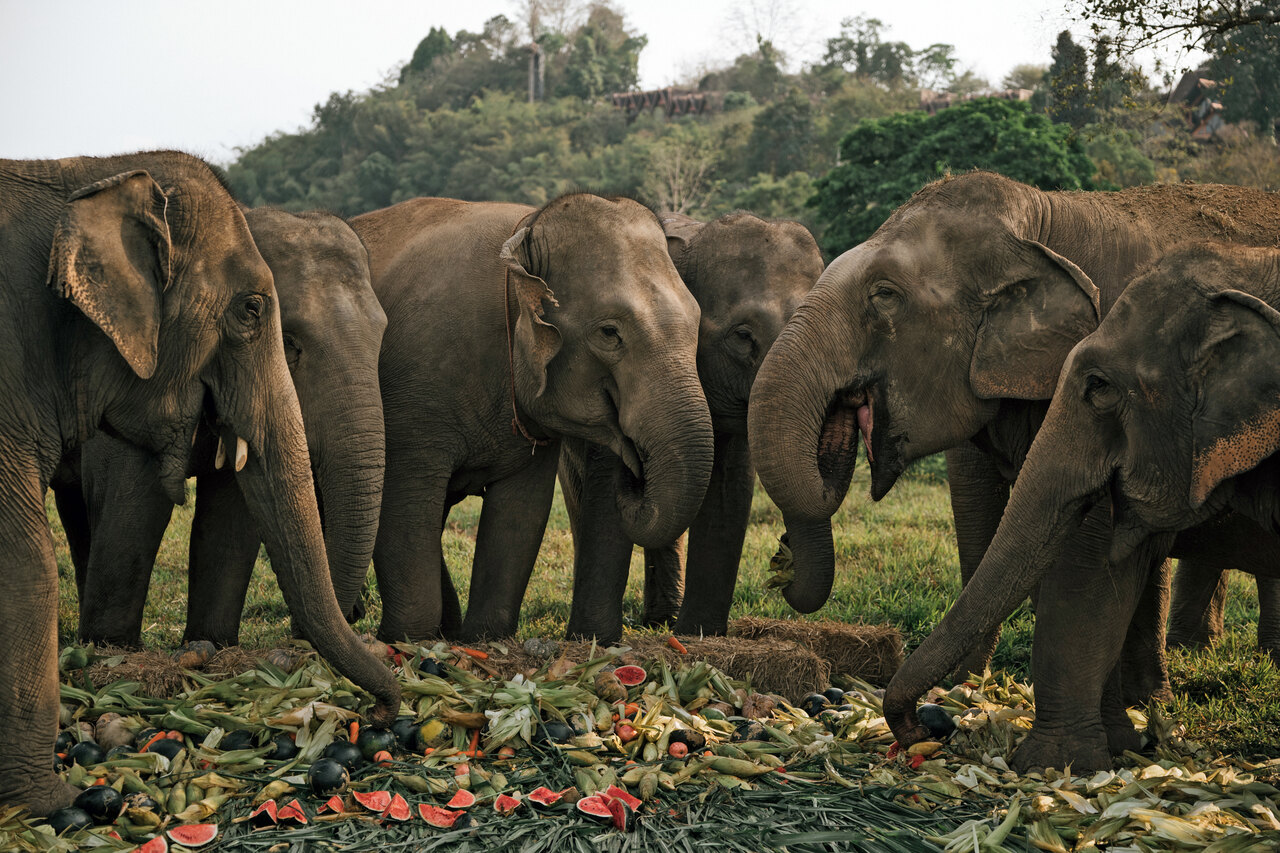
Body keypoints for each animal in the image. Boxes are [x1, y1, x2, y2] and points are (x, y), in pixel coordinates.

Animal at [51, 207, 387, 647]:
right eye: (289, 343)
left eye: (382, 335)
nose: (297, 634)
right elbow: (132, 500)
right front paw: (112, 647)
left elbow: (230, 514)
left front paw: (209, 643)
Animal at [350, 193, 714, 642]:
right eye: (609, 333)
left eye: (697, 323)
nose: (633, 469)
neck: (524, 233)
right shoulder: (415, 385)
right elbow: (405, 508)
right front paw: (407, 642)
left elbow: (520, 515)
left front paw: (484, 639)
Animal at [560, 211, 824, 641]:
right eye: (743, 337)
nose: (783, 551)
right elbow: (603, 486)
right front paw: (593, 640)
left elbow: (729, 486)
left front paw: (700, 634)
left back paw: (663, 621)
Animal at [747, 171, 1280, 706]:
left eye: (885, 294)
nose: (781, 559)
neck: (1038, 219)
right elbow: (980, 504)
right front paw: (969, 688)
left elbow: (1097, 537)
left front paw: (1145, 703)